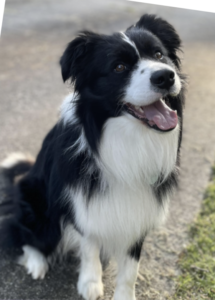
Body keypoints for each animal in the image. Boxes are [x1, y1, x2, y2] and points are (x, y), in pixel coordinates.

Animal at [0, 13, 185, 300]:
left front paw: (124, 295)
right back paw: (37, 262)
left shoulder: (142, 207)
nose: (165, 76)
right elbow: (89, 243)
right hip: (36, 202)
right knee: (23, 234)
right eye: (119, 67)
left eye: (159, 54)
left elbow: (131, 267)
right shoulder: (80, 203)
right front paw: (90, 282)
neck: (125, 137)